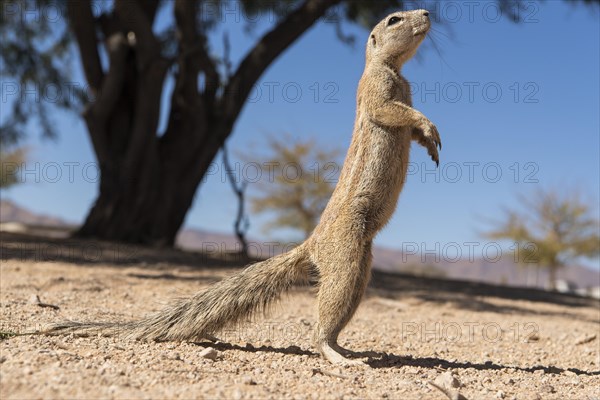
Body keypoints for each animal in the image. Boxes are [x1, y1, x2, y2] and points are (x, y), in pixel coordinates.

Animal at [43, 9, 440, 366]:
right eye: (394, 19)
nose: (426, 12)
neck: (393, 69)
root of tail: (311, 242)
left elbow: (408, 123)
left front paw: (429, 143)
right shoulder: (377, 91)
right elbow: (391, 110)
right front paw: (429, 127)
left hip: (361, 263)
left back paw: (347, 349)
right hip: (346, 256)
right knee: (327, 314)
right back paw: (335, 354)